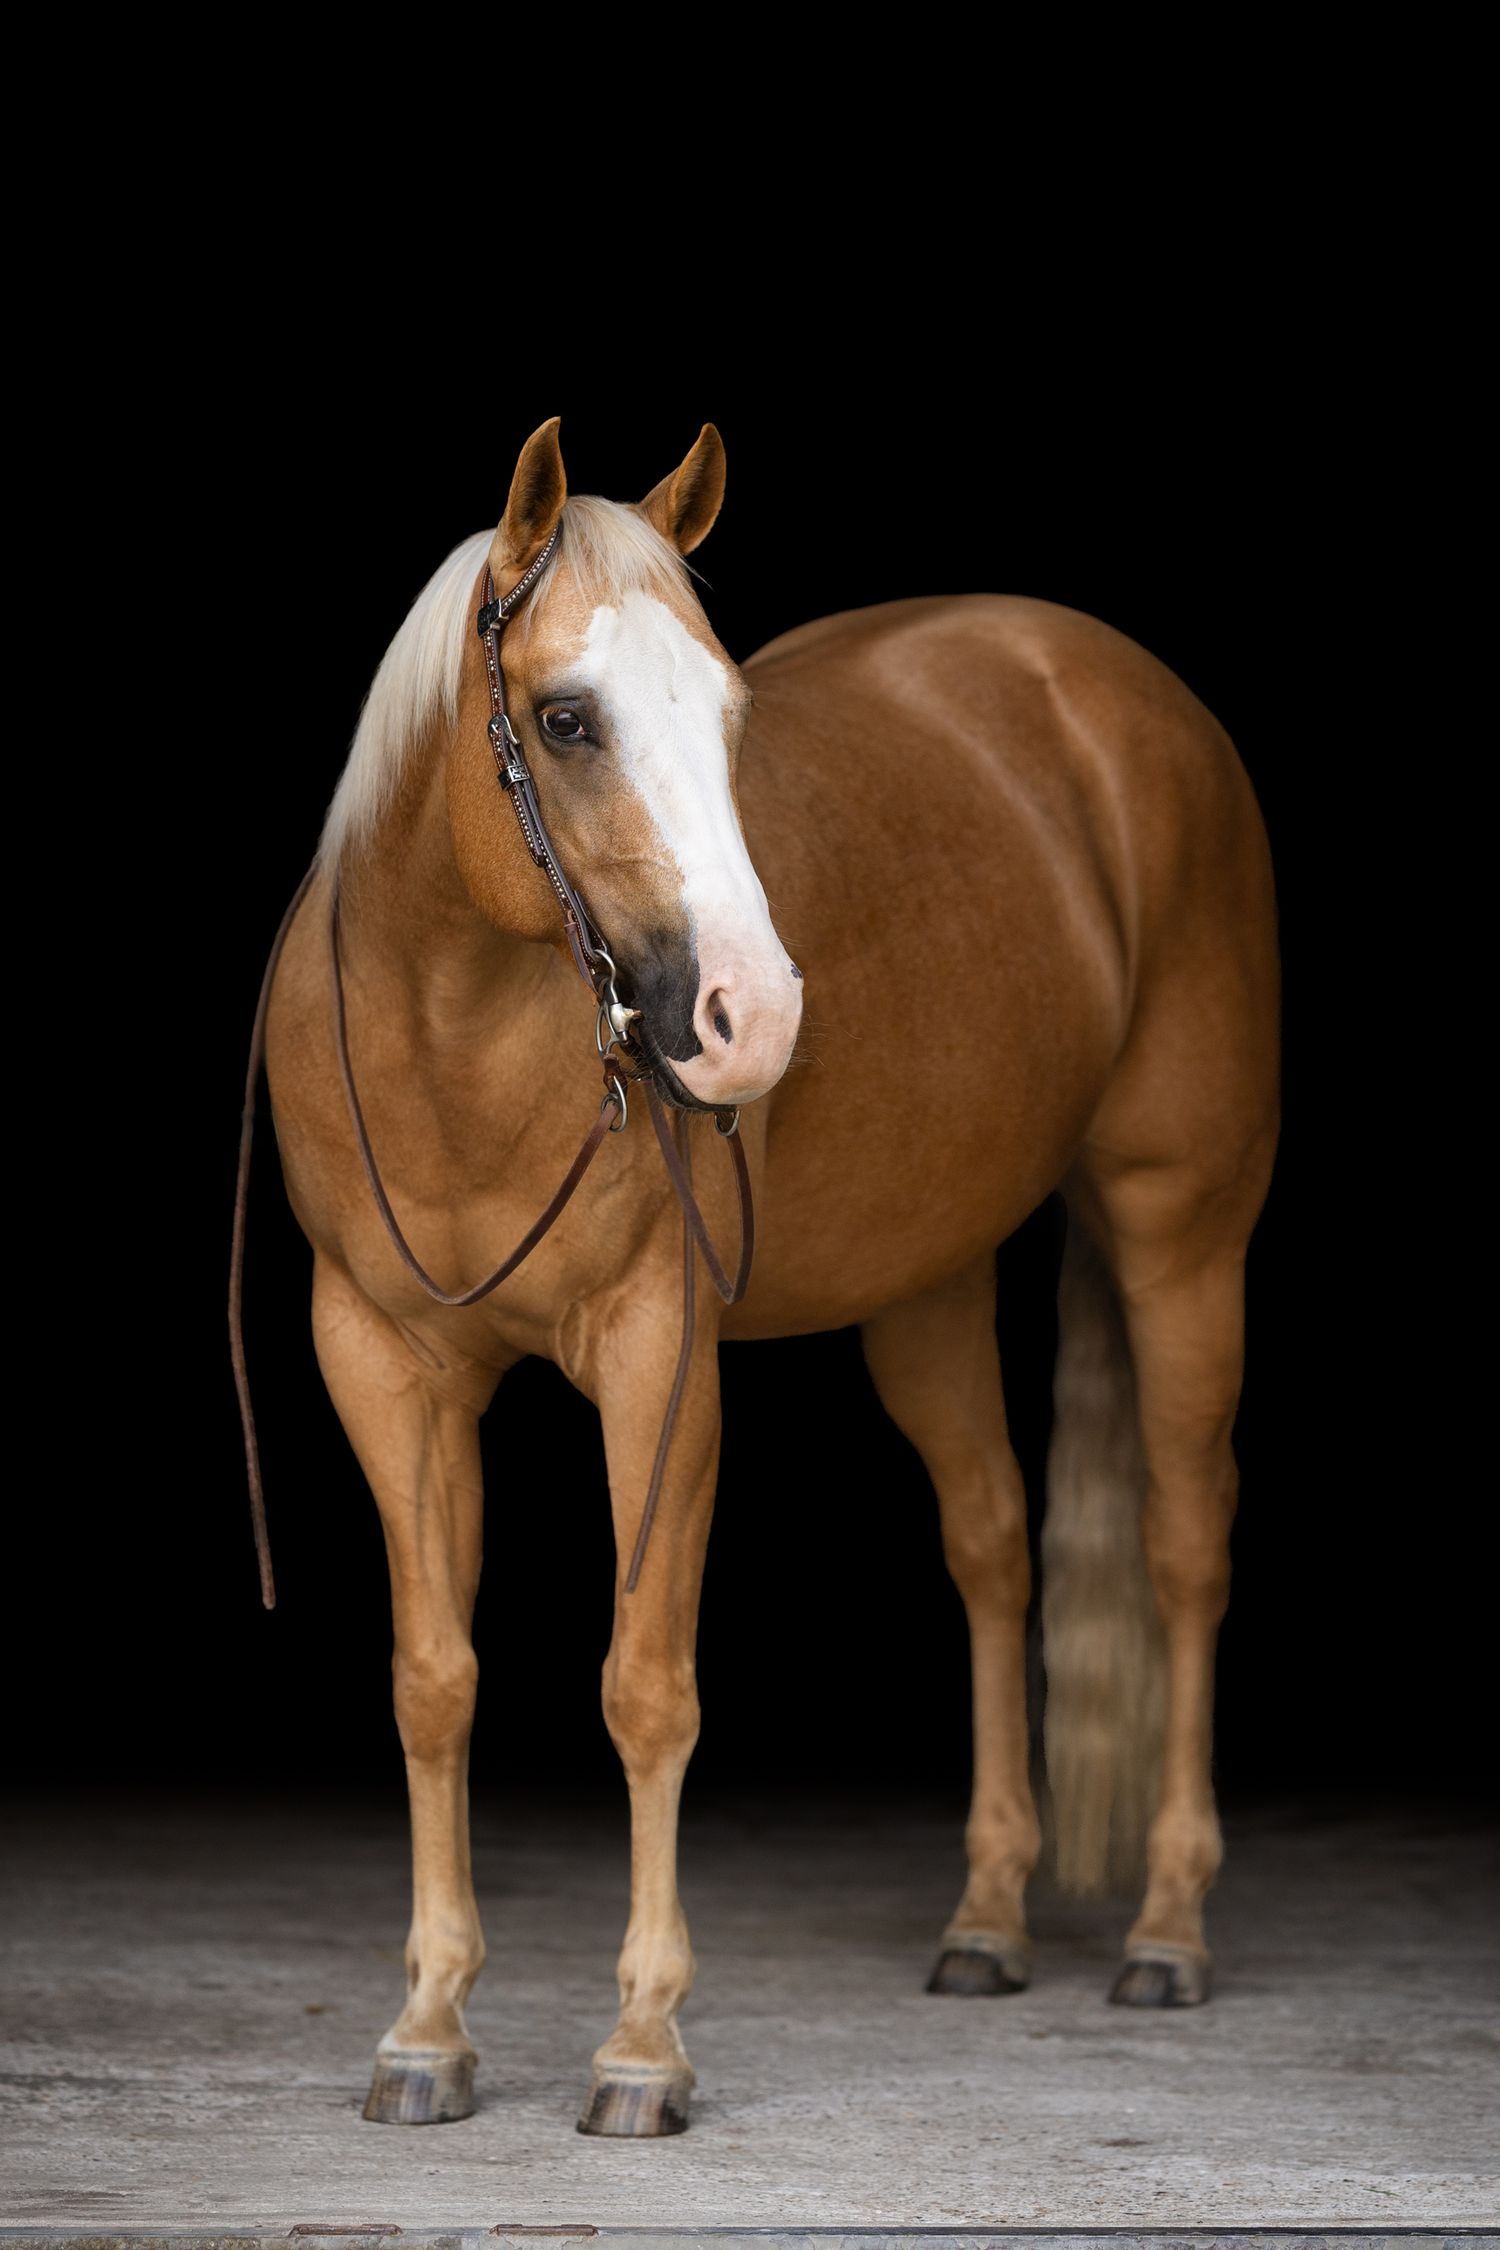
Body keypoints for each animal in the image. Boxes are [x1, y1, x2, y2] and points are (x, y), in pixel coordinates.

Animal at [255, 416, 1279, 2138]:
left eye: (729, 712)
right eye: (567, 717)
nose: (753, 1018)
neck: (453, 1037)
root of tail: (1108, 685)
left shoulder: (658, 1355)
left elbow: (646, 1683)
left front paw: (642, 2045)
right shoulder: (382, 1359)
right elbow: (433, 1679)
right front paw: (427, 2026)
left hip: (1181, 1230)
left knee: (1184, 1546)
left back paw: (1168, 1928)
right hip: (928, 1283)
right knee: (993, 1545)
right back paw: (987, 1918)